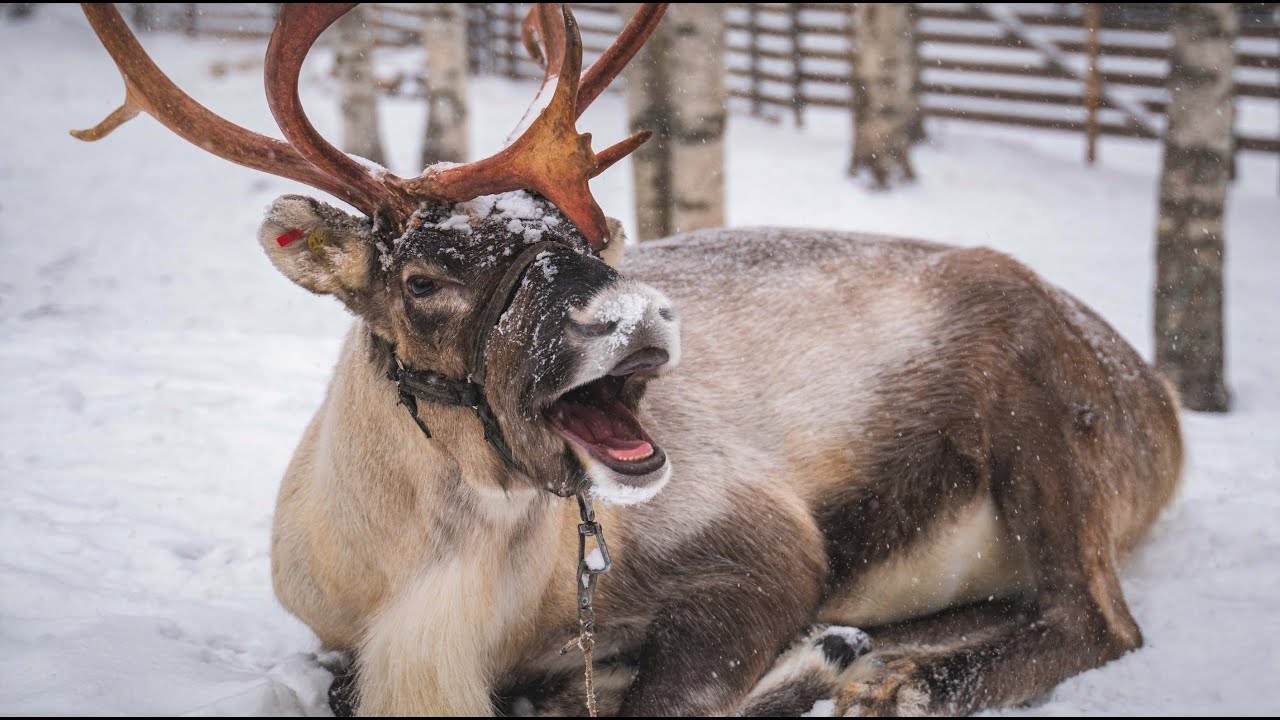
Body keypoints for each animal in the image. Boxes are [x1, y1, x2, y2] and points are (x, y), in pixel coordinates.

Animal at [73, 2, 1183, 716]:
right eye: (424, 275)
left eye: (595, 232)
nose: (641, 315)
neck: (444, 591)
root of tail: (1160, 408)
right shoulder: (341, 637)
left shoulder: (766, 548)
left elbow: (673, 695)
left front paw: (815, 662)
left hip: (1040, 419)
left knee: (1096, 620)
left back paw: (898, 681)